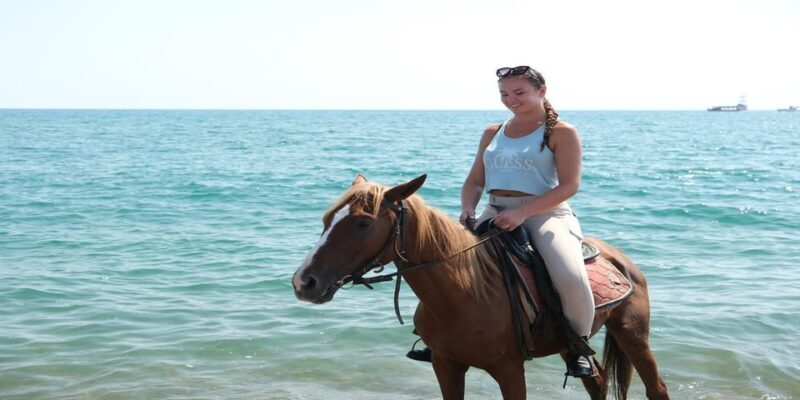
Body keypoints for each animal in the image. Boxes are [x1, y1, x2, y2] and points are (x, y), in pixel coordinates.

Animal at [292, 173, 670, 400]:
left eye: (363, 223)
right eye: (327, 219)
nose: (303, 281)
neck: (462, 295)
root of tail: (621, 259)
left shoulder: (509, 370)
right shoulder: (446, 365)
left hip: (632, 335)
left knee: (656, 387)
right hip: (572, 343)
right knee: (597, 381)